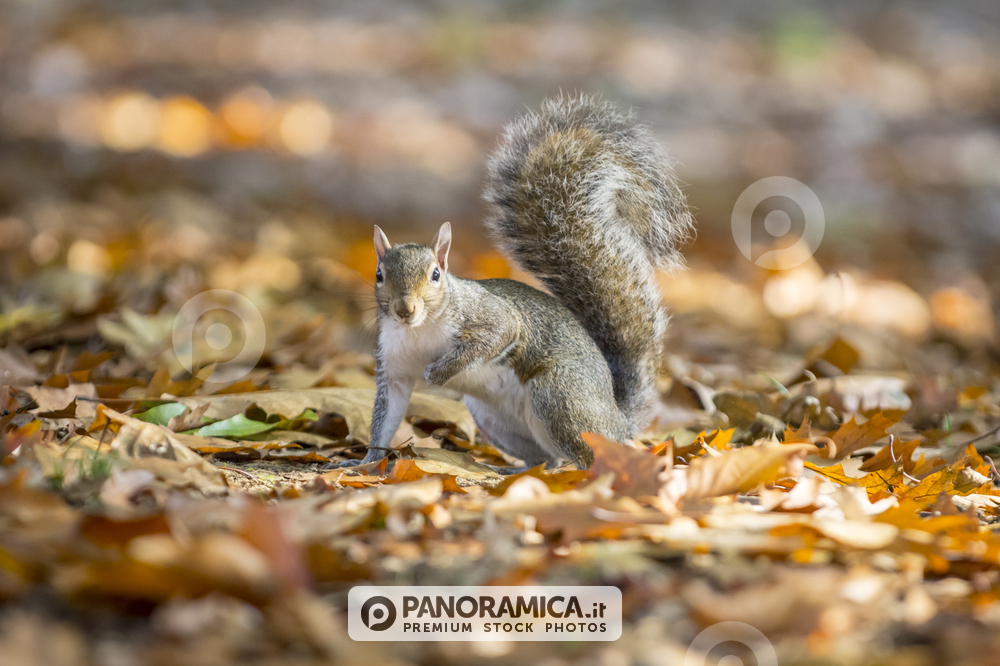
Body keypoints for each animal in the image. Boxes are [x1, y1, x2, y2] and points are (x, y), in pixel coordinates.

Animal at [358, 94, 693, 470]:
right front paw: (364, 461)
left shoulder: (490, 316)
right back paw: (518, 470)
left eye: (435, 274)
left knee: (583, 453)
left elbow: (496, 335)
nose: (405, 309)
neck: (419, 331)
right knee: (546, 457)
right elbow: (386, 418)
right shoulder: (394, 369)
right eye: (379, 275)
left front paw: (441, 373)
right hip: (494, 419)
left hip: (559, 395)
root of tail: (616, 419)